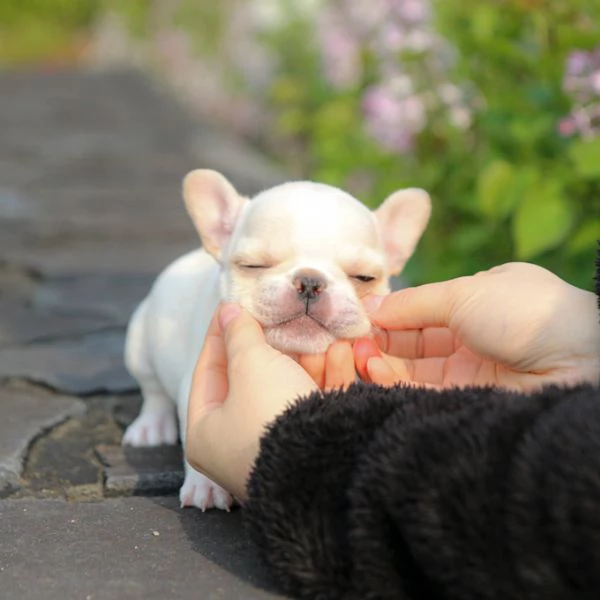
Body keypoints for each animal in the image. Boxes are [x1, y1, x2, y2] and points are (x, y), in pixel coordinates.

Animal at [123, 169, 432, 510]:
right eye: (253, 265)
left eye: (364, 277)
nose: (310, 281)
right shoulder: (195, 383)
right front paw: (207, 484)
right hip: (138, 344)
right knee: (153, 392)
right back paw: (152, 426)